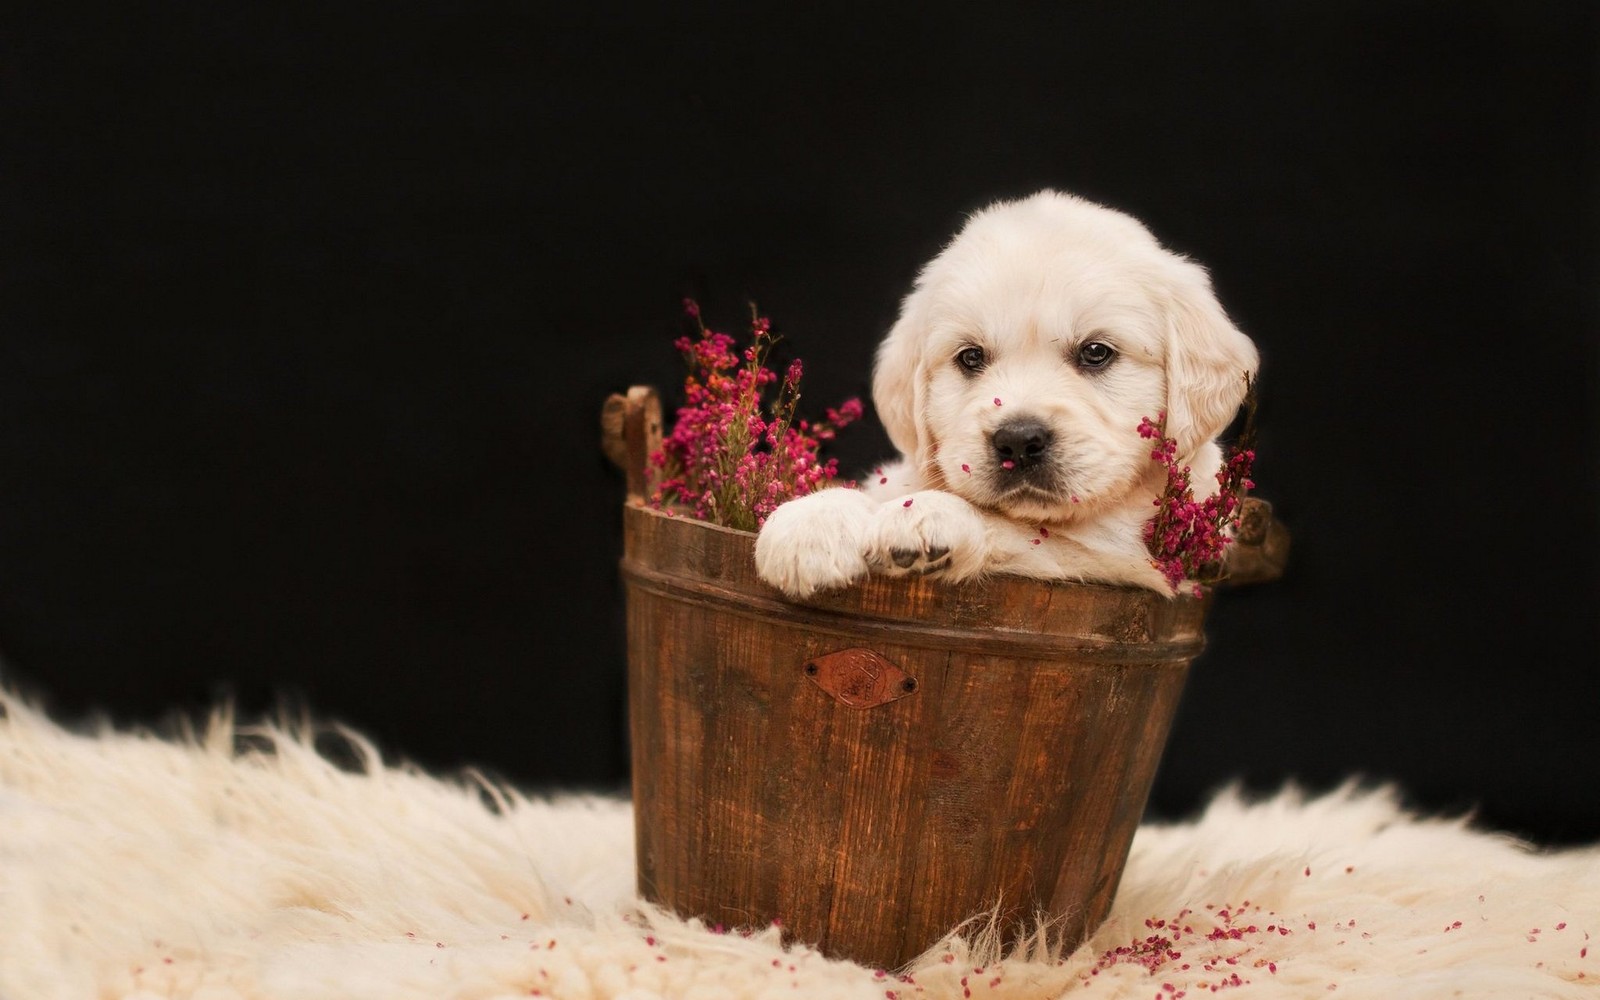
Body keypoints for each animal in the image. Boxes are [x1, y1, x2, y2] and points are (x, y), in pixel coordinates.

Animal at [755, 190, 1254, 595]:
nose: (1017, 441)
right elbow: (885, 486)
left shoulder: (1130, 558)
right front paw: (811, 522)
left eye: (1096, 352)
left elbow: (1020, 532)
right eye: (971, 357)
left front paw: (928, 515)